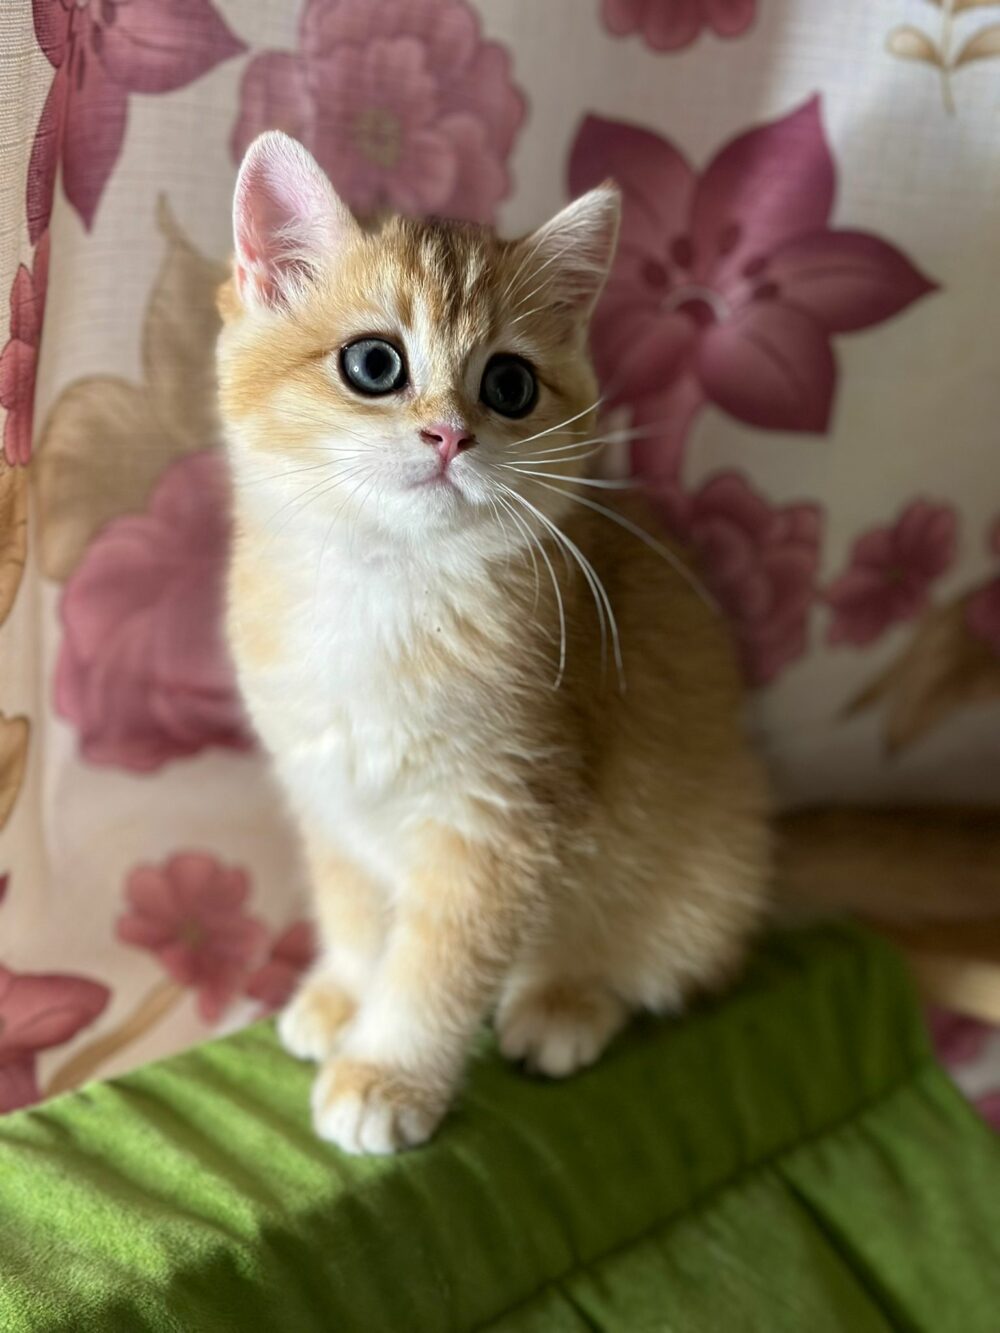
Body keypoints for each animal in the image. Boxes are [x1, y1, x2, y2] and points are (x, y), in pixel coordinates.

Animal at [216, 137, 773, 1157]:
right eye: (374, 363)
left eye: (510, 384)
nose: (450, 434)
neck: (384, 589)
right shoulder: (326, 795)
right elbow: (354, 911)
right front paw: (345, 991)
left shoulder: (498, 824)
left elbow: (434, 968)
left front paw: (386, 1072)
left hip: (703, 875)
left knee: (652, 961)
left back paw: (564, 1003)